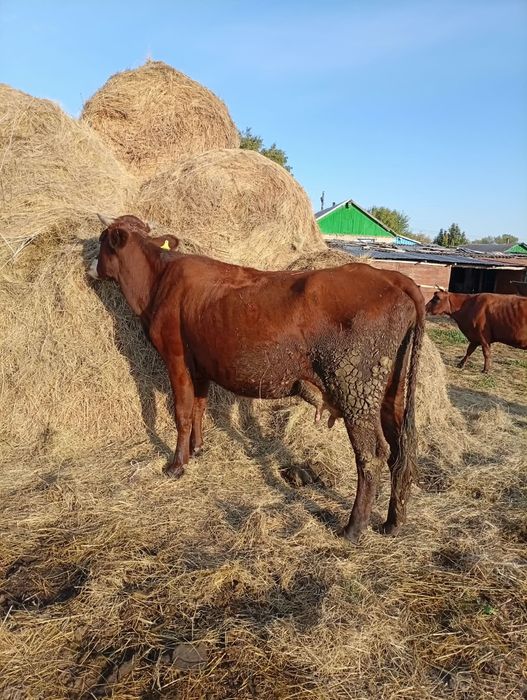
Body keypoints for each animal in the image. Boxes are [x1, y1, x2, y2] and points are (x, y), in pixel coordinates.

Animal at [89, 214, 425, 544]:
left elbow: (182, 413)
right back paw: (392, 523)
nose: (90, 266)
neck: (159, 280)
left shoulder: (176, 358)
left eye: (104, 239)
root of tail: (393, 277)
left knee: (372, 454)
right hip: (390, 393)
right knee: (401, 449)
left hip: (356, 390)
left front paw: (176, 465)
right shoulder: (201, 366)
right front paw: (198, 449)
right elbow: (198, 407)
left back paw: (353, 529)